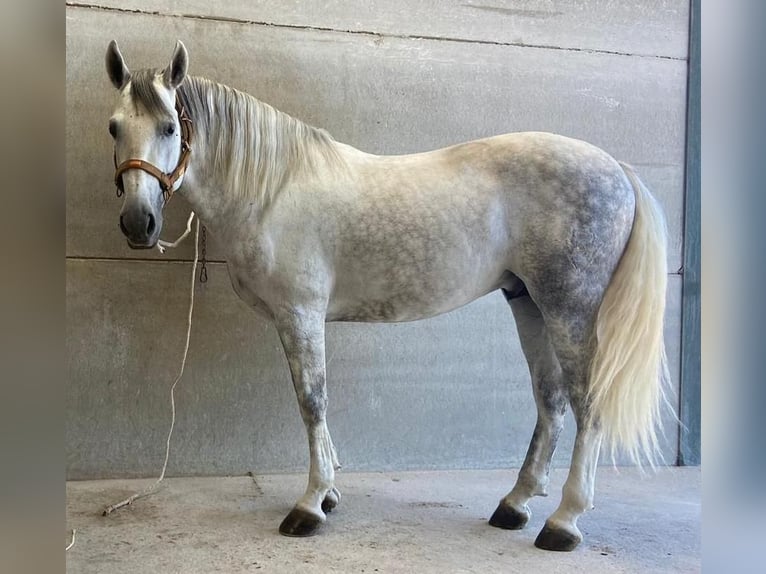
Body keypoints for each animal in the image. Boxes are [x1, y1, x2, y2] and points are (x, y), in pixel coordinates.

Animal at [104, 40, 670, 552]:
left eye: (170, 127)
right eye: (114, 127)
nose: (137, 223)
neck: (271, 189)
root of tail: (618, 170)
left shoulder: (300, 314)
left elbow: (311, 400)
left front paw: (310, 505)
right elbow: (315, 402)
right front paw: (330, 493)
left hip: (571, 309)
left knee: (587, 403)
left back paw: (564, 522)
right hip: (528, 301)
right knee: (549, 400)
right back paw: (515, 505)